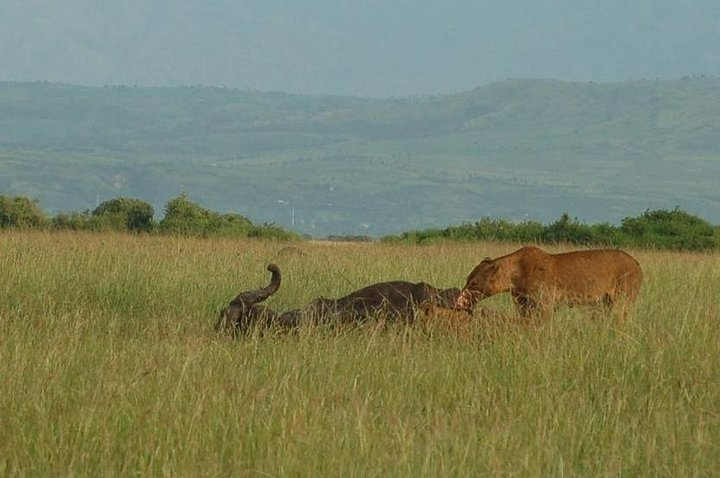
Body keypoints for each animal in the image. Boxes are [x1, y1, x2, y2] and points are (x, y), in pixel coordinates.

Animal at [454, 245, 643, 319]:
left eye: (473, 283)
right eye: (467, 280)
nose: (460, 300)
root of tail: (637, 264)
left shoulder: (545, 303)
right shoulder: (522, 303)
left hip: (622, 297)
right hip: (605, 302)